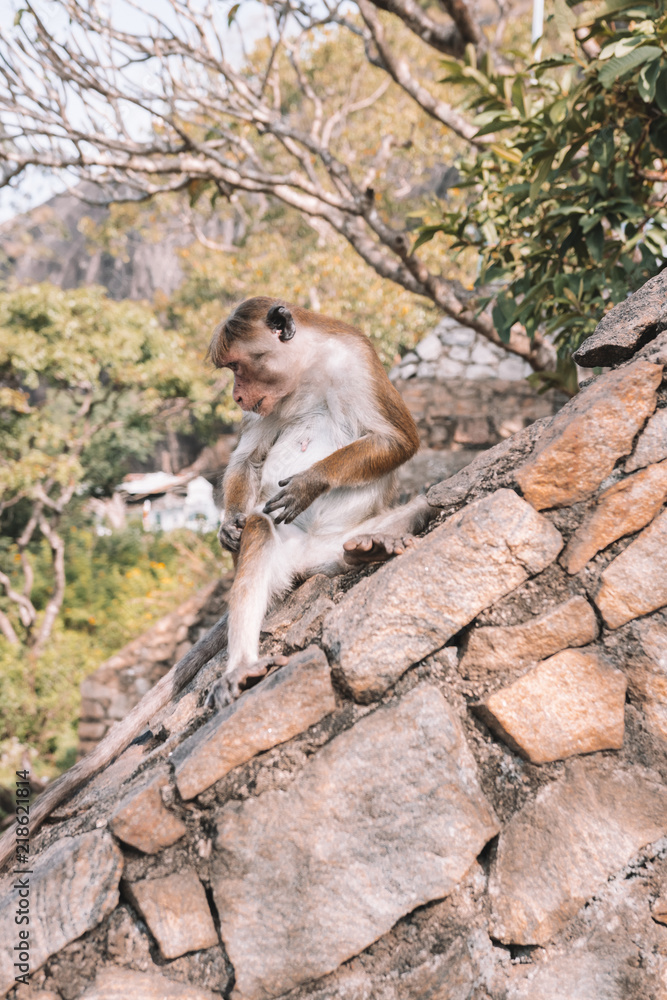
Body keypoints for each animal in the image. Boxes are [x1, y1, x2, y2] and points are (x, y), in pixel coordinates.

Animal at [206, 296, 435, 708]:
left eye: (237, 366)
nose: (236, 396)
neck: (306, 369)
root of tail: (308, 562)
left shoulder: (355, 360)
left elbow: (398, 439)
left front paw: (310, 482)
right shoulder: (264, 404)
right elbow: (249, 460)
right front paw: (229, 522)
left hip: (338, 542)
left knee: (422, 501)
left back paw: (371, 546)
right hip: (284, 560)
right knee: (259, 527)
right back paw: (242, 665)